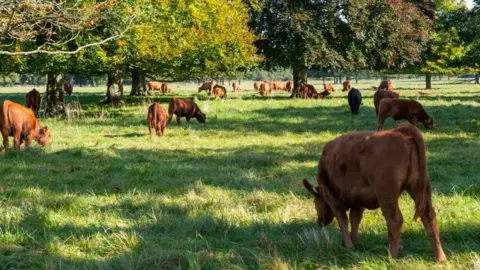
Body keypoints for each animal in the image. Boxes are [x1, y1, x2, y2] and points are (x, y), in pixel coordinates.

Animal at [304, 124, 446, 262]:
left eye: (316, 203)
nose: (320, 221)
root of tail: (400, 131)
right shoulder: (357, 200)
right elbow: (355, 219)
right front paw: (354, 240)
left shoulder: (331, 196)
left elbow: (343, 219)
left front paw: (348, 245)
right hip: (419, 189)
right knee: (428, 217)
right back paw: (440, 257)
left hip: (387, 195)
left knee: (395, 220)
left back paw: (392, 256)